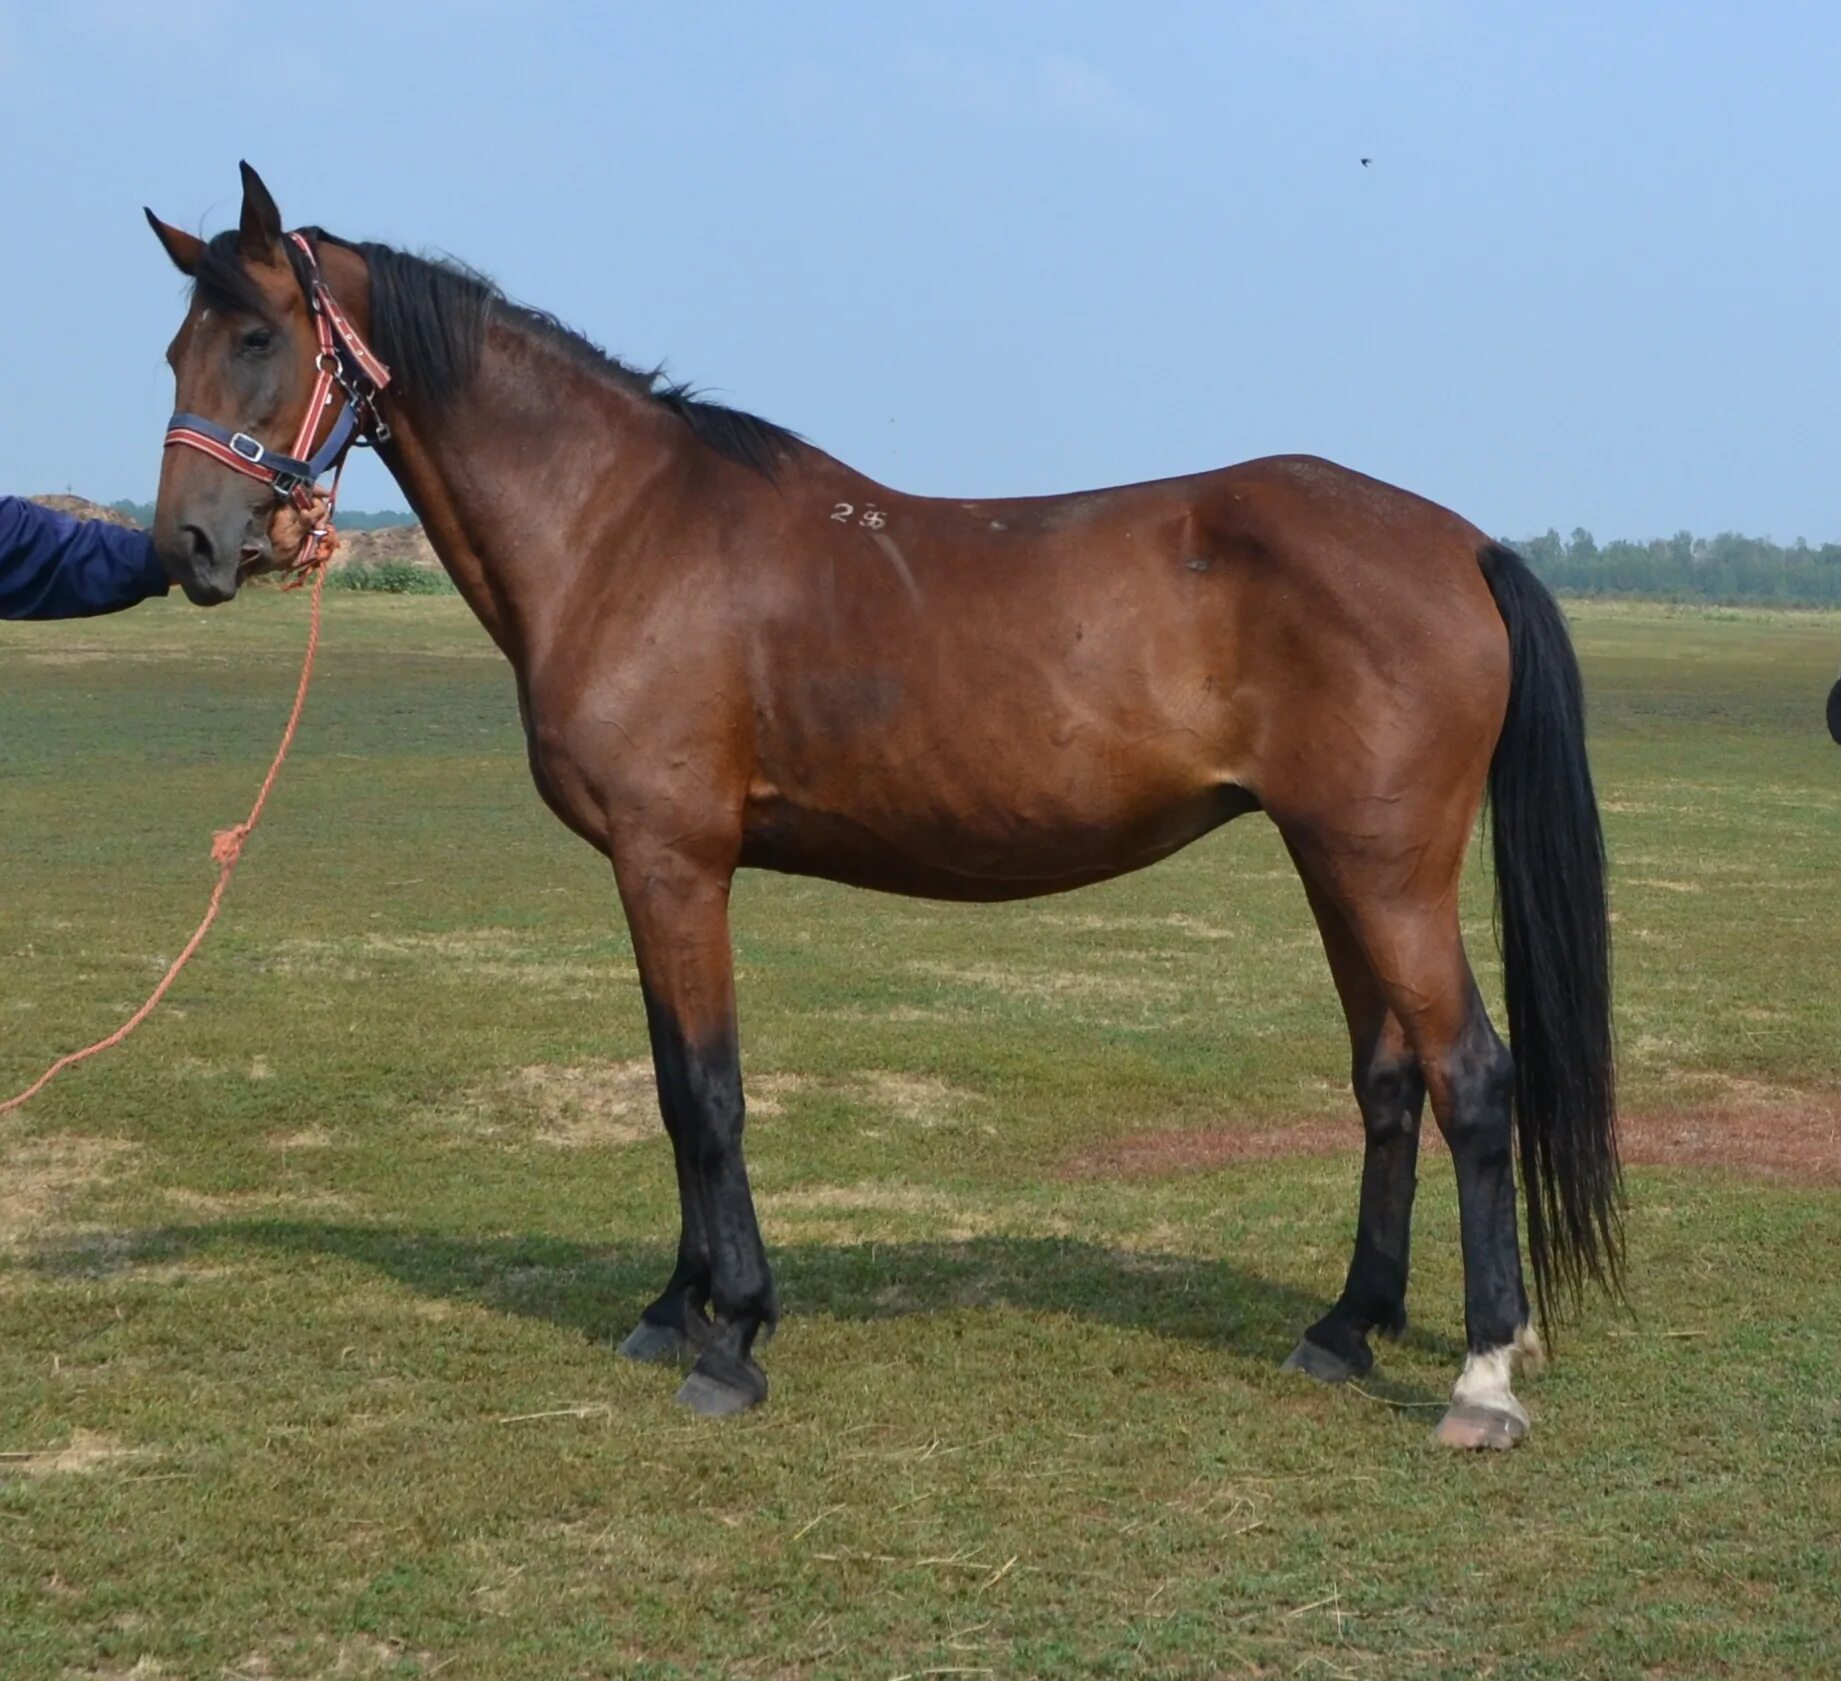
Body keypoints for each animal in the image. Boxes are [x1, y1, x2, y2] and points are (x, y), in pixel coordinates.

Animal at [143, 161, 1620, 1443]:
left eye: (260, 337)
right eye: (174, 353)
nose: (192, 548)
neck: (622, 531)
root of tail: (1460, 543)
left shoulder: (675, 863)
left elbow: (709, 1092)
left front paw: (732, 1337)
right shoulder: (645, 870)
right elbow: (672, 1086)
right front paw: (675, 1309)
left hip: (1385, 869)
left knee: (1470, 1076)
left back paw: (1481, 1379)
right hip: (1333, 862)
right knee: (1388, 1080)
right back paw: (1343, 1328)